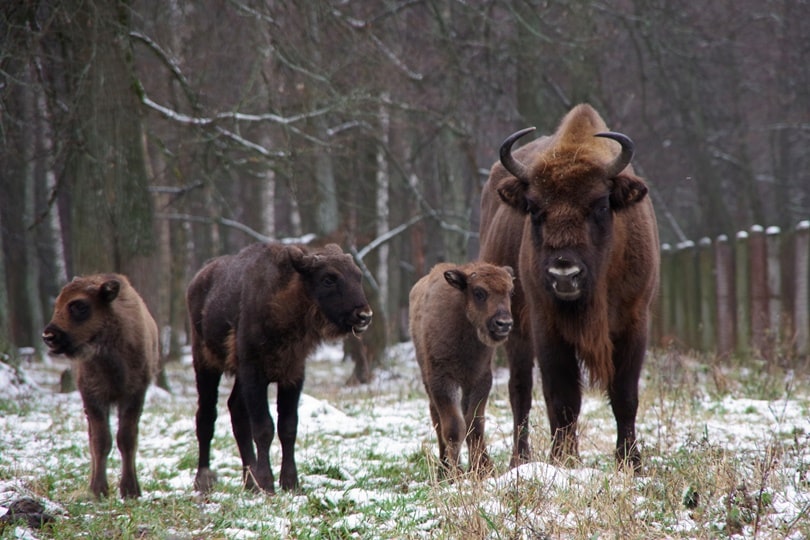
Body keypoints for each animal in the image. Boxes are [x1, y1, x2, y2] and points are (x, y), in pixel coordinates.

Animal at [41, 274, 159, 498]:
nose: (49, 336)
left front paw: (130, 491)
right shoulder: (92, 397)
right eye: (57, 304)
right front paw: (98, 490)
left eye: (79, 305)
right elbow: (101, 440)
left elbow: (126, 439)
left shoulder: (133, 395)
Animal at [187, 243, 372, 496]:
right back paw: (204, 481)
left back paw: (249, 482)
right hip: (205, 365)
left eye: (358, 275)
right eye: (328, 278)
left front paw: (290, 483)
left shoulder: (293, 374)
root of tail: (197, 281)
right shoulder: (254, 373)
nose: (364, 315)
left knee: (236, 412)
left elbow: (288, 427)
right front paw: (267, 483)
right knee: (206, 417)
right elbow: (264, 427)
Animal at [408, 262, 516, 476]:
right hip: (428, 381)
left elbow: (475, 423)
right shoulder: (442, 381)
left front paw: (482, 469)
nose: (504, 324)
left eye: (510, 291)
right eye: (479, 292)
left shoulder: (479, 379)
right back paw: (443, 469)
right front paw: (455, 473)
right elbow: (454, 427)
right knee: (437, 419)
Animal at [480, 103, 656, 470]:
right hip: (514, 329)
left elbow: (625, 395)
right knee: (520, 391)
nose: (564, 274)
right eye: (534, 207)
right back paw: (519, 459)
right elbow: (562, 396)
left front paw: (630, 461)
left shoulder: (635, 321)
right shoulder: (546, 325)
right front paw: (563, 459)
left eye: (601, 204)